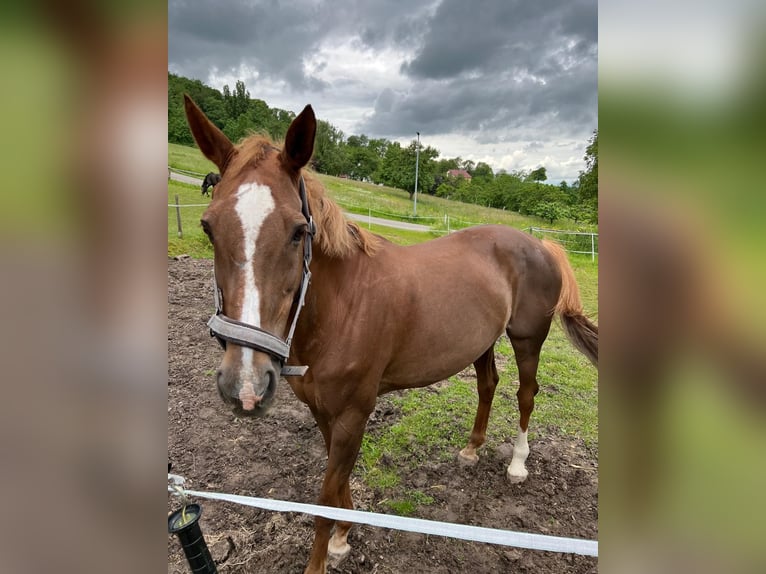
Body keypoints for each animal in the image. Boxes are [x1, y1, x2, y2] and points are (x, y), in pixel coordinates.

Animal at [184, 97, 600, 572]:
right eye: (208, 227)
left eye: (298, 231)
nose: (245, 385)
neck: (343, 306)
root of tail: (540, 245)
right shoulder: (324, 412)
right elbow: (338, 485)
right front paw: (344, 536)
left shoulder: (353, 413)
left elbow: (324, 497)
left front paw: (324, 555)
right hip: (481, 341)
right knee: (488, 385)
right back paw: (472, 450)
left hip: (527, 340)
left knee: (526, 394)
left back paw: (517, 464)